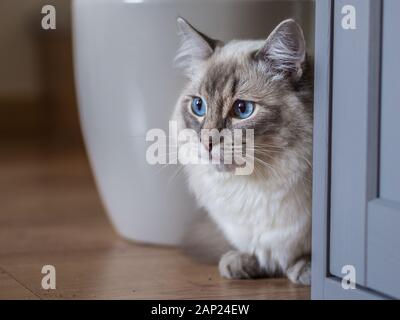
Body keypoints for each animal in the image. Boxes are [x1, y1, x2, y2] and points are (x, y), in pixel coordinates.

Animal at [171, 16, 312, 284]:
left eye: (242, 109)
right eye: (198, 106)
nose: (207, 142)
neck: (253, 183)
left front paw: (306, 268)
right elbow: (257, 250)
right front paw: (243, 262)